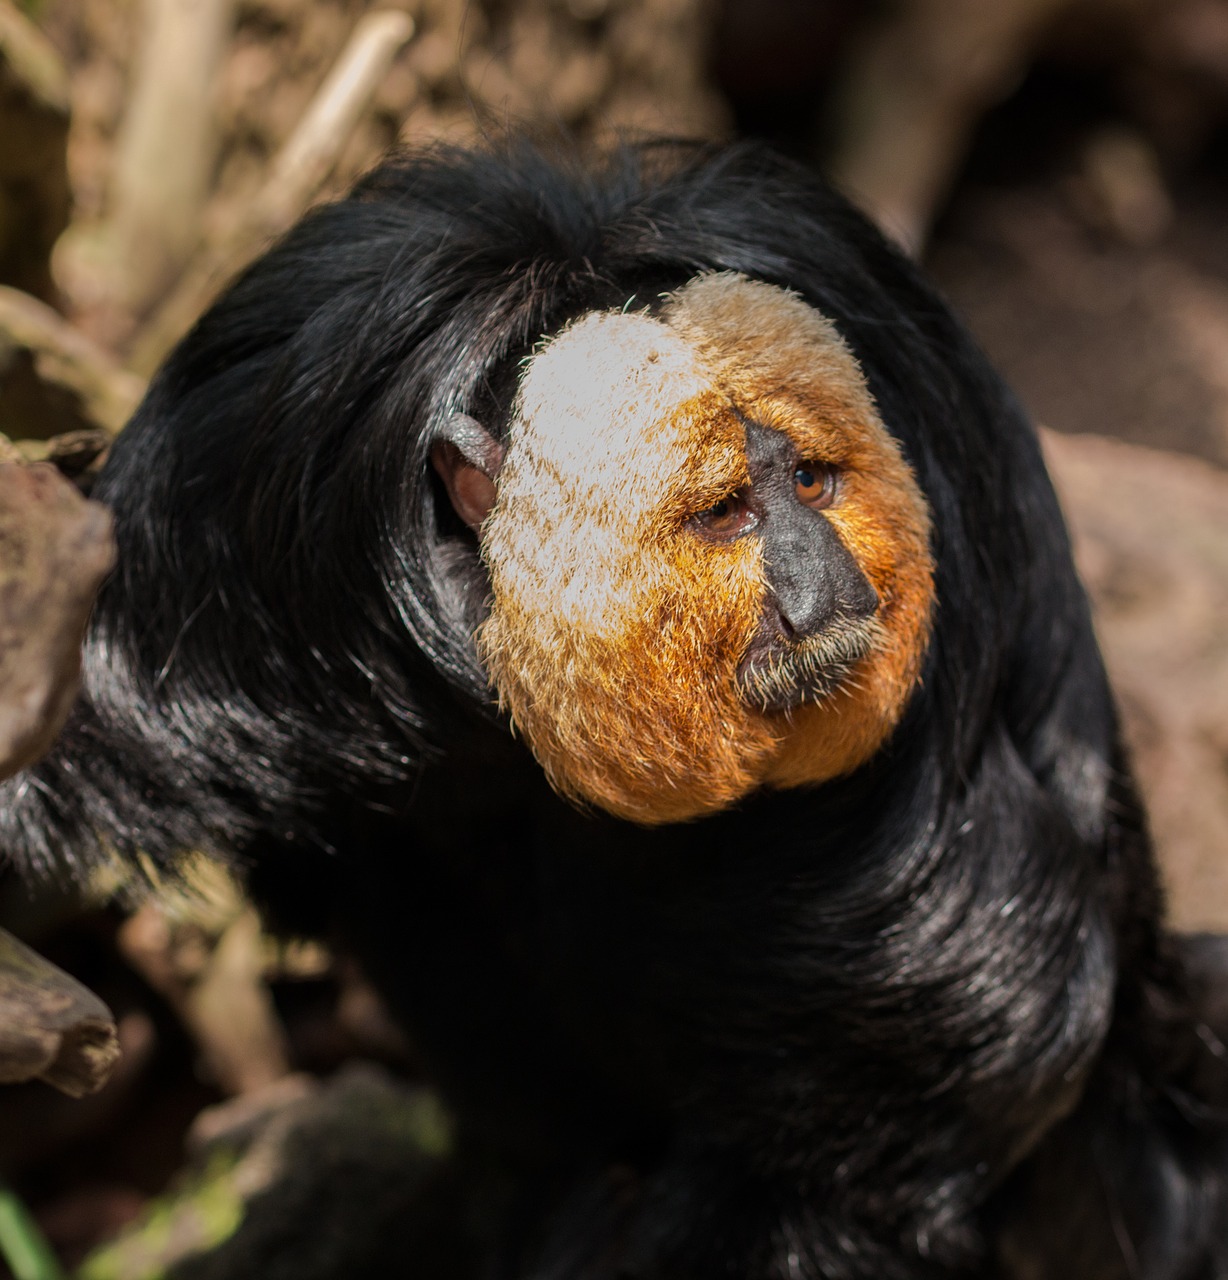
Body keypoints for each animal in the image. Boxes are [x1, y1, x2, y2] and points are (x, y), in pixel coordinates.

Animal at [2, 140, 1228, 1280]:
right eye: (731, 512)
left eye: (814, 482)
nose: (826, 588)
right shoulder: (252, 456)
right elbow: (99, 695)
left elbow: (961, 965)